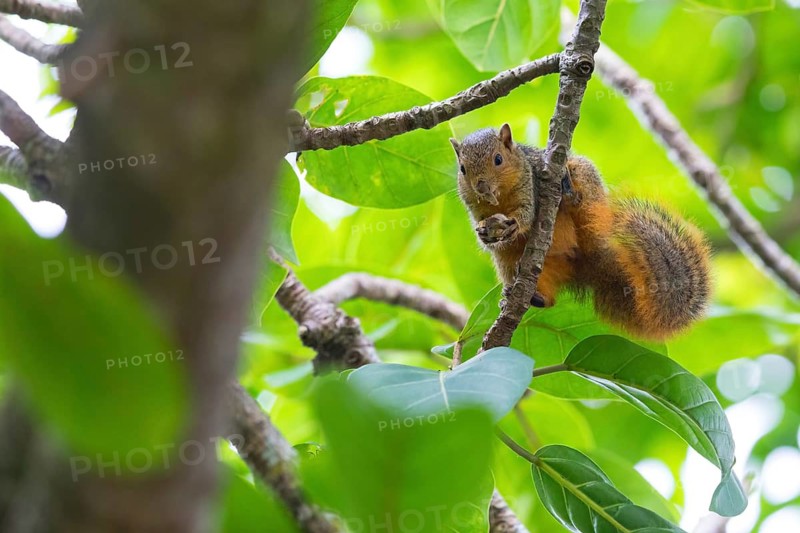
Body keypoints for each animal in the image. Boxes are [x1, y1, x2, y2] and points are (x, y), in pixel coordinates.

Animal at [450, 124, 711, 341]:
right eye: (462, 169)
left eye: (498, 159)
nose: (482, 186)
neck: (500, 199)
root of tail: (585, 263)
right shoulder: (475, 209)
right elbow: (485, 235)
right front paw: (485, 234)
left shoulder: (529, 185)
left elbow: (528, 213)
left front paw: (515, 223)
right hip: (509, 263)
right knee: (546, 298)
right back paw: (526, 296)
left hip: (584, 183)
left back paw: (569, 193)